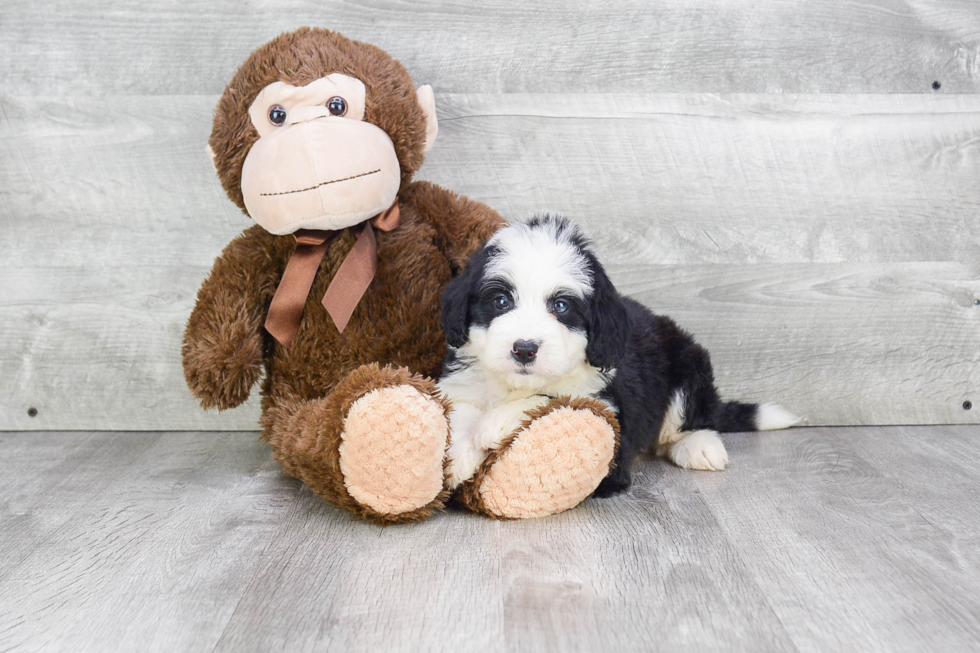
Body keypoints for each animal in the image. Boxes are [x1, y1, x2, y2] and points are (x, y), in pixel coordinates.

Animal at [440, 214, 800, 494]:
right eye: (500, 301)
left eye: (561, 306)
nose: (525, 349)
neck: (514, 385)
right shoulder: (462, 383)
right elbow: (459, 410)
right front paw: (458, 455)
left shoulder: (610, 416)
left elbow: (556, 396)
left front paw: (496, 422)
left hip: (688, 362)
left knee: (695, 416)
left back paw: (699, 445)